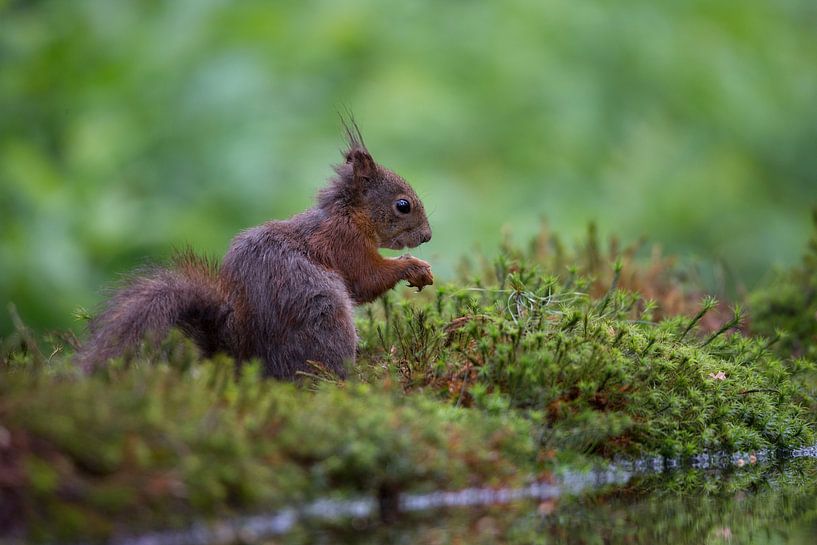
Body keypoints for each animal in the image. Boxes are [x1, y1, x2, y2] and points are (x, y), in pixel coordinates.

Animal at [76, 121, 434, 378]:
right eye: (403, 205)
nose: (428, 236)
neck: (349, 216)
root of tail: (248, 362)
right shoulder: (345, 244)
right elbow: (367, 279)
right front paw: (414, 267)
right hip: (326, 317)